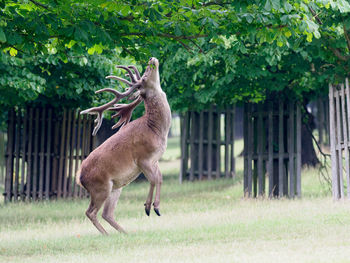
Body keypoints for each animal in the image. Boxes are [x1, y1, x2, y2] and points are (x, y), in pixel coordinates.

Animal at [78, 57, 173, 235]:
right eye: (144, 78)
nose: (152, 59)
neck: (156, 130)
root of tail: (78, 177)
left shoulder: (155, 160)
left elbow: (160, 178)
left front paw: (156, 207)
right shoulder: (143, 158)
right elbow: (153, 179)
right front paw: (149, 207)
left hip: (116, 187)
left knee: (107, 213)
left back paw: (124, 232)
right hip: (100, 187)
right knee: (90, 212)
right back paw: (107, 235)